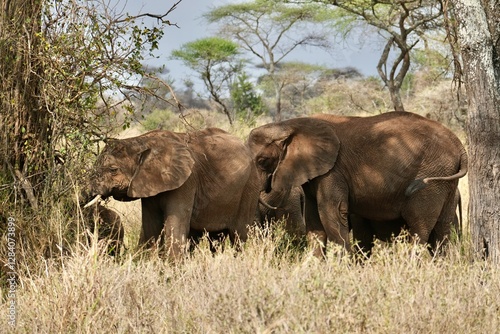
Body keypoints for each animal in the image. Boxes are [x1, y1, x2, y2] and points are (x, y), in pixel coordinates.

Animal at [84, 126, 260, 260]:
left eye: (113, 170)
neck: (141, 141)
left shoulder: (186, 182)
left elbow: (175, 227)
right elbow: (150, 226)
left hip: (250, 187)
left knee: (238, 236)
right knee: (216, 239)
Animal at [250, 111, 468, 258]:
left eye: (262, 160)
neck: (291, 125)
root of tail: (460, 146)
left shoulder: (333, 170)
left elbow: (331, 213)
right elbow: (314, 221)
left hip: (430, 179)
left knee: (419, 228)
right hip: (447, 181)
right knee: (442, 229)